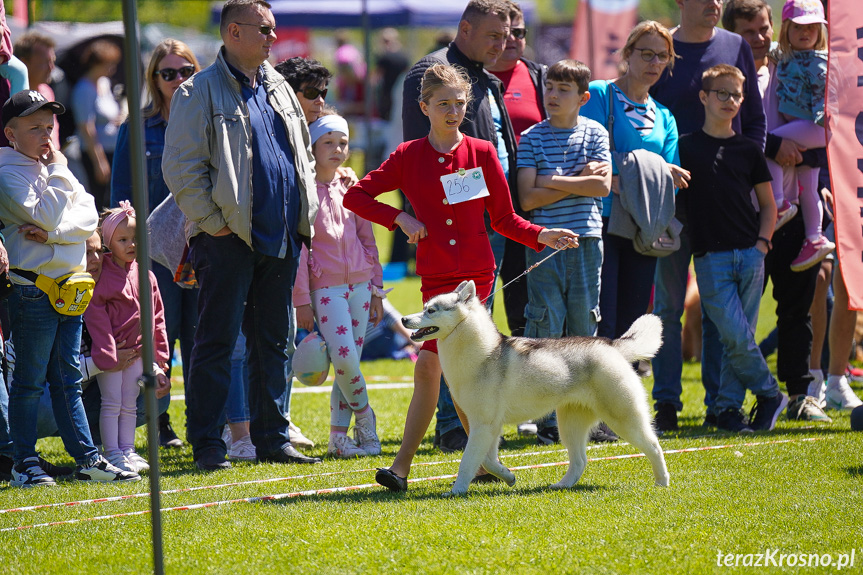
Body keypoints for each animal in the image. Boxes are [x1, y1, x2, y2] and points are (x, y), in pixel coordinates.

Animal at [402, 282, 672, 498]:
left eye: (431, 310)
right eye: (425, 306)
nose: (404, 319)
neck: (479, 353)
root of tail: (611, 345)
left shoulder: (484, 425)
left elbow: (467, 462)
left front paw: (456, 490)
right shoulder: (488, 426)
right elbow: (488, 460)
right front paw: (507, 475)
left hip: (623, 418)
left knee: (654, 445)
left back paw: (662, 481)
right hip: (569, 424)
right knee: (580, 461)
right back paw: (562, 485)